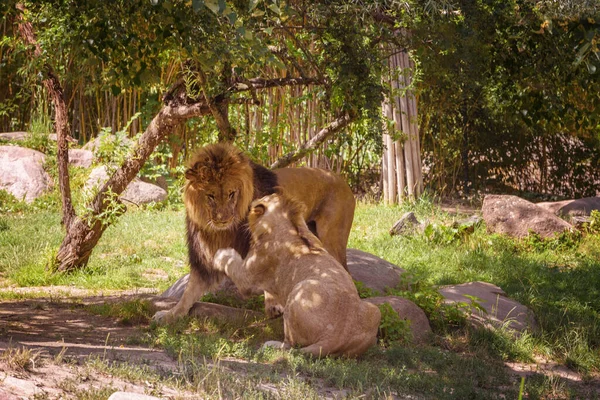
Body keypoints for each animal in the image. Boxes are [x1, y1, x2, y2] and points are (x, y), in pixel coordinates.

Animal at [152, 142, 354, 324]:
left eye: (232, 194)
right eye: (210, 196)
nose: (223, 219)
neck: (222, 231)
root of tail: (339, 177)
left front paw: (274, 306)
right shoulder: (204, 257)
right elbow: (189, 292)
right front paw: (170, 315)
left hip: (332, 238)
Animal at [212, 192, 380, 358]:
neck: (288, 225)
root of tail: (335, 337)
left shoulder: (247, 278)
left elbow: (231, 263)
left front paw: (220, 254)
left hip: (299, 289)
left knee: (290, 345)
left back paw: (272, 344)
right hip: (373, 309)